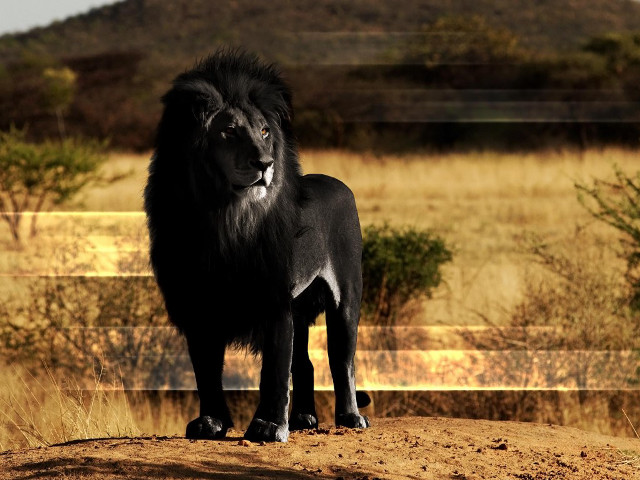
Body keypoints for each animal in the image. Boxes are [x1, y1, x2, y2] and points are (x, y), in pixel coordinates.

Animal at [144, 51, 370, 442]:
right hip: (300, 307)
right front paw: (211, 423)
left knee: (342, 360)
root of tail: (338, 182)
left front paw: (267, 427)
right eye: (229, 131)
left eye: (265, 132)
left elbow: (274, 370)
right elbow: (206, 371)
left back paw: (349, 417)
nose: (266, 163)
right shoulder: (196, 304)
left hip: (346, 295)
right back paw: (304, 419)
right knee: (305, 363)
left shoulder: (274, 298)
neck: (224, 217)